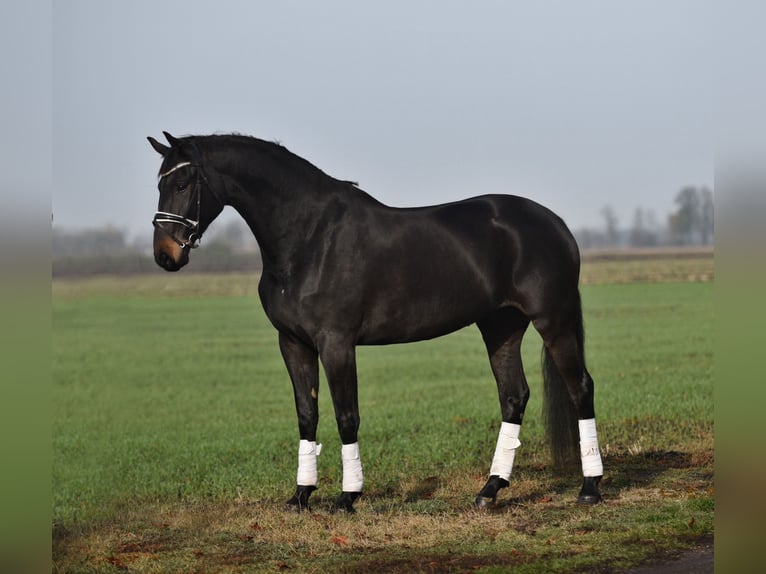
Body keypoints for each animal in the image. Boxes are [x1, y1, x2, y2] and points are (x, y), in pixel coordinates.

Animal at [148, 132, 608, 512]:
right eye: (159, 183)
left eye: (183, 183)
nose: (165, 255)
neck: (309, 238)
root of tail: (555, 223)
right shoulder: (293, 342)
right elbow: (307, 414)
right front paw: (300, 496)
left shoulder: (336, 343)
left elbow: (346, 416)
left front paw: (347, 498)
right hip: (500, 327)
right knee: (513, 396)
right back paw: (489, 490)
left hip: (554, 319)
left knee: (580, 387)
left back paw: (589, 488)